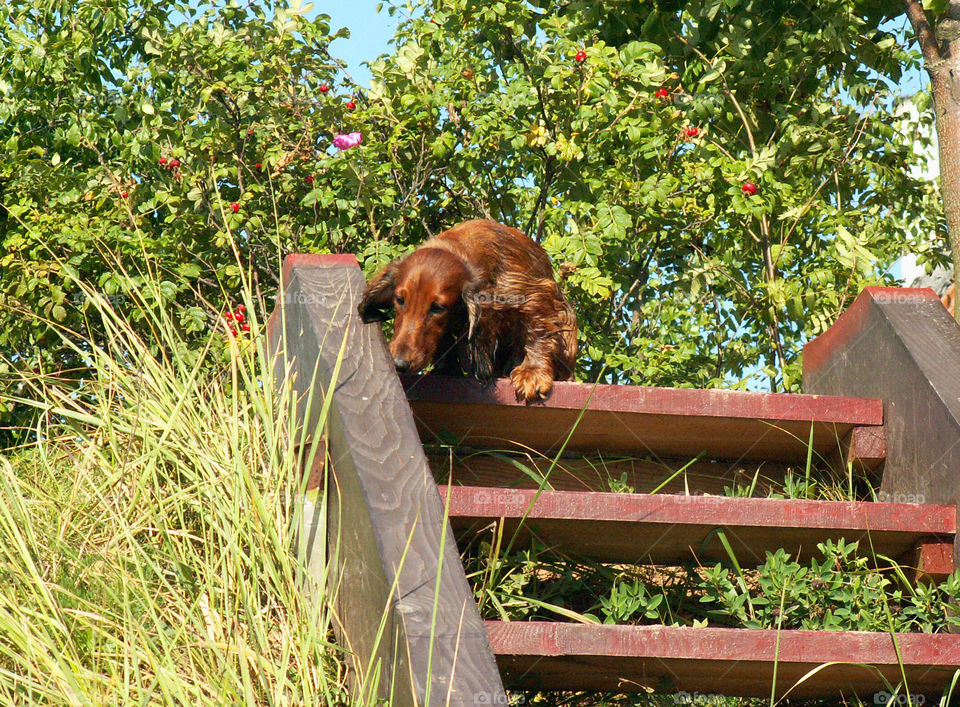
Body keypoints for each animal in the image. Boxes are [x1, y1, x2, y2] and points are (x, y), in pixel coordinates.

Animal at [358, 218, 576, 402]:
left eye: (437, 308)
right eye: (400, 300)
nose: (399, 364)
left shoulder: (533, 293)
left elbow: (538, 330)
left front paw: (532, 373)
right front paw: (445, 369)